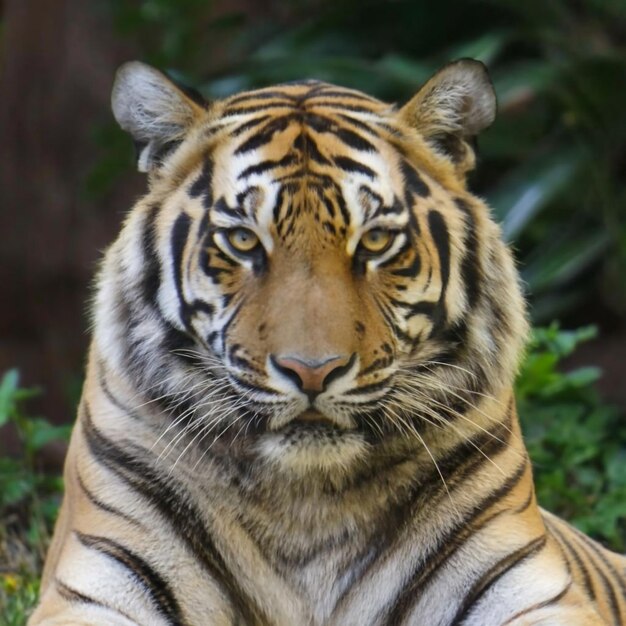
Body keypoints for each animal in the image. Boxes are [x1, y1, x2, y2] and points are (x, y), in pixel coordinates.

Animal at [29, 59, 624, 624]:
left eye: (376, 240)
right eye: (242, 240)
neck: (307, 502)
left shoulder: (527, 587)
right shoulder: (98, 586)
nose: (312, 372)